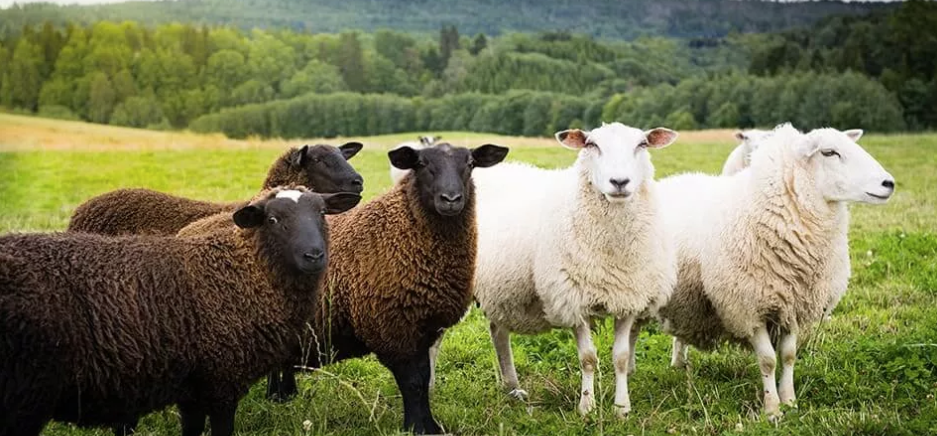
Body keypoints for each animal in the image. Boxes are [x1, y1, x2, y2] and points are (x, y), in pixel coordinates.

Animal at [0, 187, 362, 436]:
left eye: (322, 214)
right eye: (273, 220)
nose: (314, 255)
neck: (242, 273)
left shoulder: (193, 388)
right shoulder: (222, 380)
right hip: (22, 397)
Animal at [467, 122, 678, 418]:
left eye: (642, 144)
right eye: (591, 144)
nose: (619, 182)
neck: (613, 254)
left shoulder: (628, 297)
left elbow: (621, 357)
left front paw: (622, 408)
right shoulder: (573, 298)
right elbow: (587, 358)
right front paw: (586, 407)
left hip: (501, 291)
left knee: (498, 332)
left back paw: (512, 387)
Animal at [656, 124, 895, 419]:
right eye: (829, 152)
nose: (889, 183)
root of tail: (673, 179)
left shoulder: (793, 302)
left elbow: (789, 356)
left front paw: (790, 400)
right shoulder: (749, 305)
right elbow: (768, 360)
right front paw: (772, 410)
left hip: (685, 300)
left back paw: (679, 363)